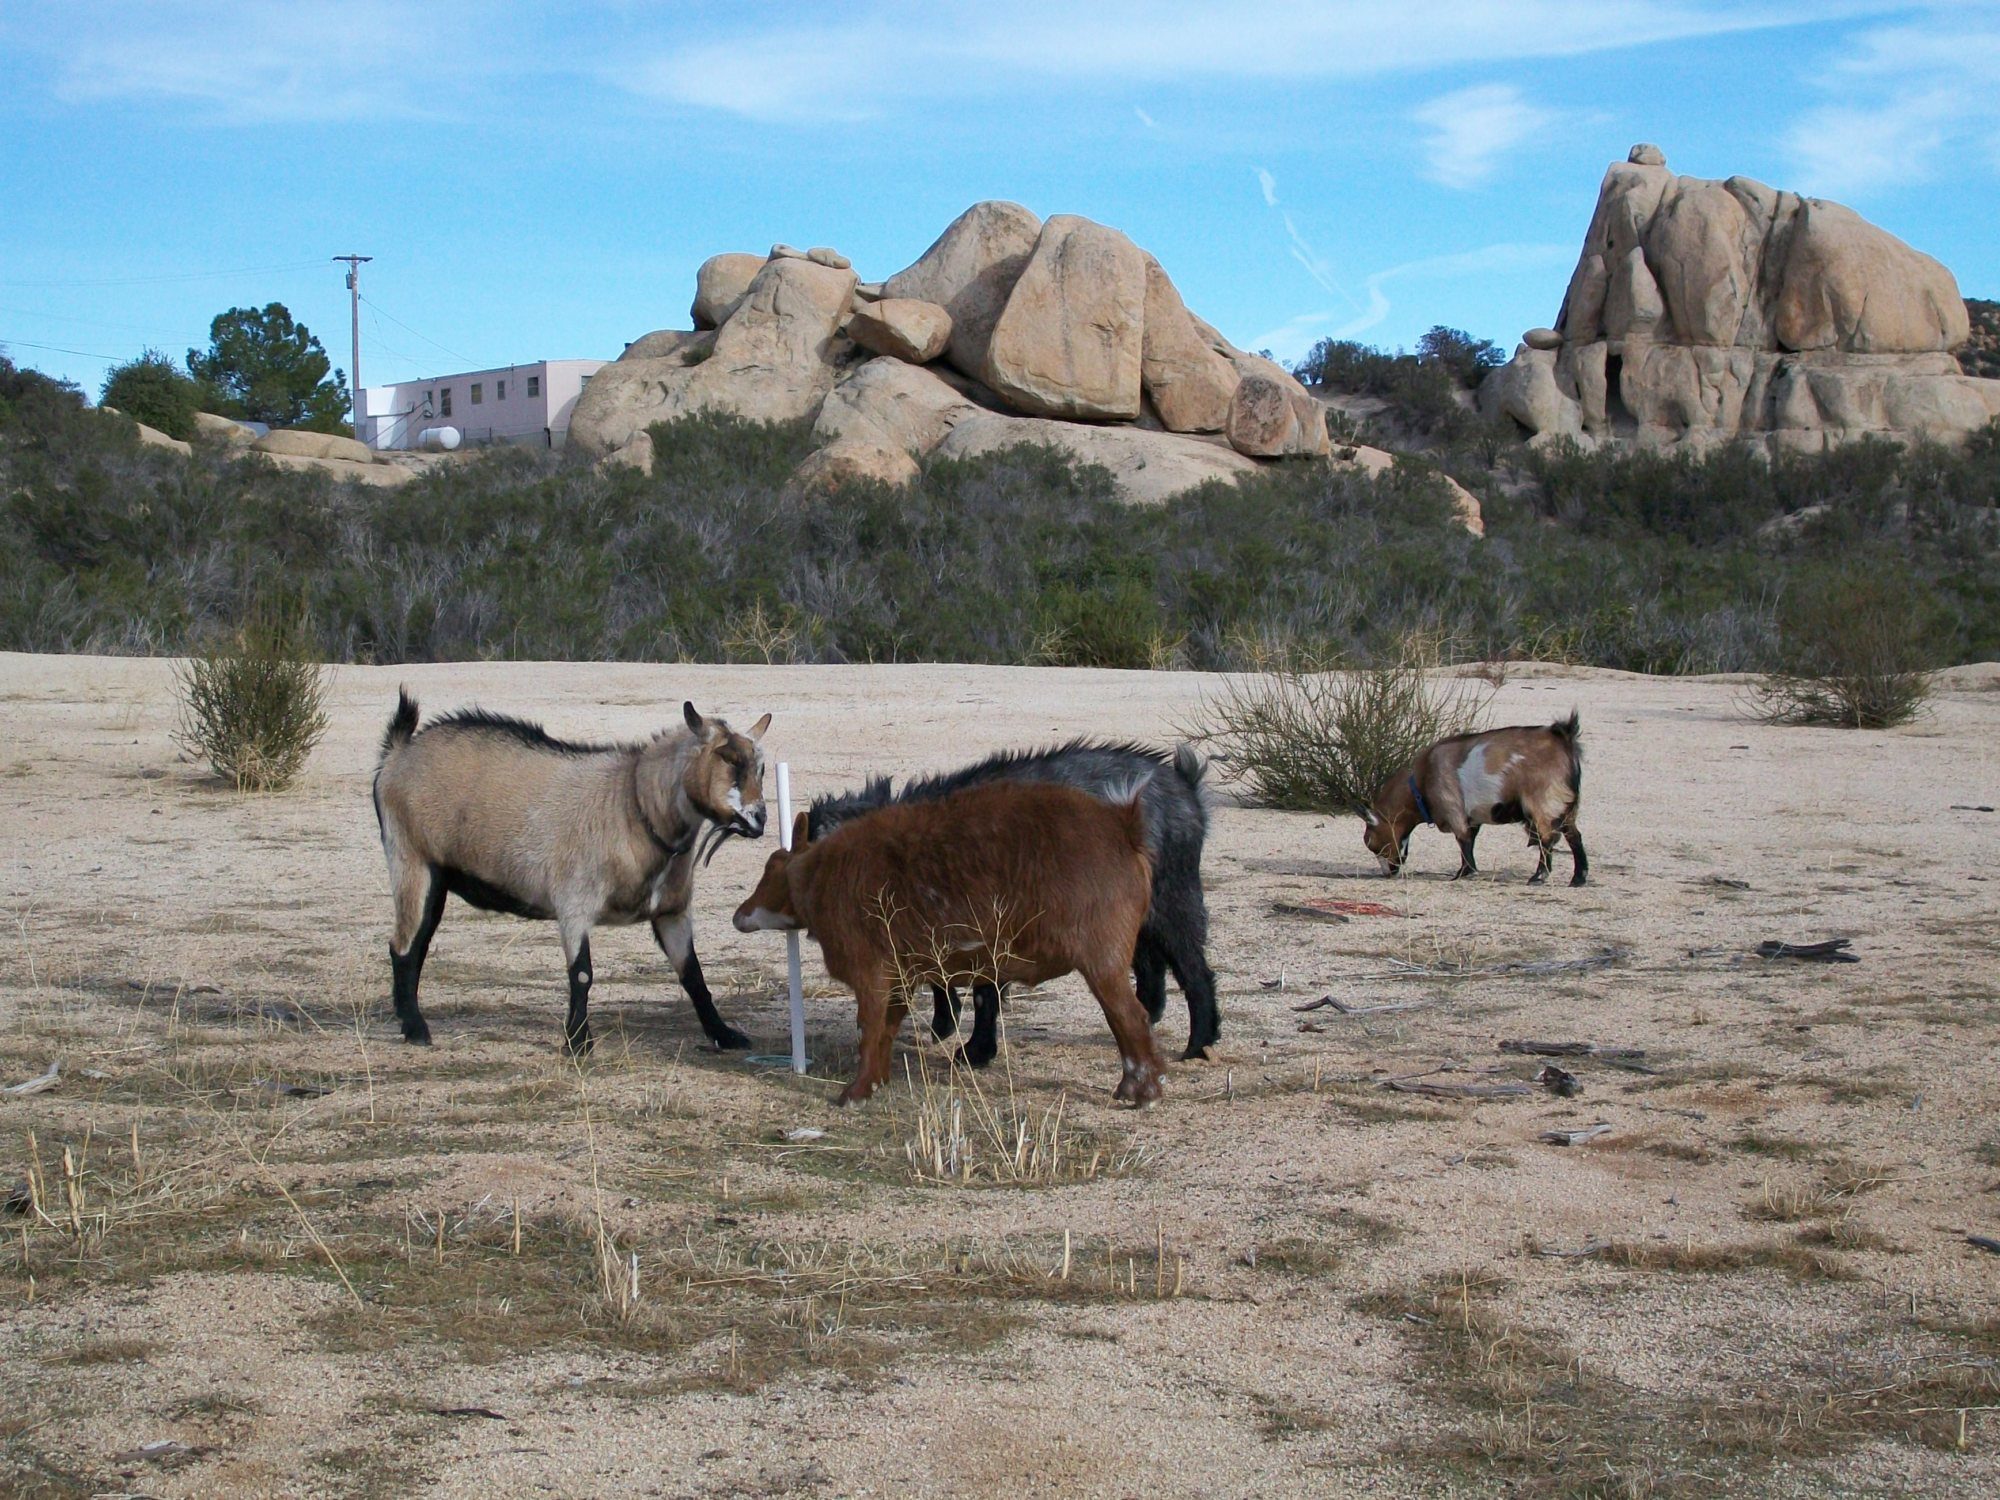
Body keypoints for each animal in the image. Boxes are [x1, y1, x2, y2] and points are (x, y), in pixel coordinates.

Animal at [372, 693, 771, 1053]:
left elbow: (693, 974)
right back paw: (416, 1029)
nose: (758, 819)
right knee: (403, 945)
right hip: (410, 860)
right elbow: (581, 973)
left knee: (418, 943)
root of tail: (398, 754)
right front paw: (578, 1042)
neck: (632, 804)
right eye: (728, 758)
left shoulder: (671, 911)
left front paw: (724, 1035)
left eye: (761, 767)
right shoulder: (575, 903)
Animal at [734, 781, 1165, 1107]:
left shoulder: (871, 970)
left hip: (1102, 957)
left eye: (772, 866)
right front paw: (877, 1082)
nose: (740, 915)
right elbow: (887, 1028)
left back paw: (1142, 1093)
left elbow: (869, 1027)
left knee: (1129, 1016)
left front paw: (853, 1094)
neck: (820, 875)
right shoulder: (902, 978)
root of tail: (1123, 827)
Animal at [808, 741, 1218, 1063]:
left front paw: (975, 1052)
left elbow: (984, 995)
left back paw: (1199, 1043)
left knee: (1195, 971)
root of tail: (1185, 786)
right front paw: (944, 1024)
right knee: (1150, 965)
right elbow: (940, 976)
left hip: (1173, 904)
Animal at [1362, 712, 1587, 885]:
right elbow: (1470, 840)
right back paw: (1578, 878)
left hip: (1543, 803)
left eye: (1372, 843)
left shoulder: (1453, 809)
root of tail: (1562, 737)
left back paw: (1539, 876)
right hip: (1567, 806)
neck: (1421, 781)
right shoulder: (1473, 818)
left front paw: (1463, 873)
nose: (1387, 873)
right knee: (1574, 836)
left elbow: (1463, 840)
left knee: (1546, 838)